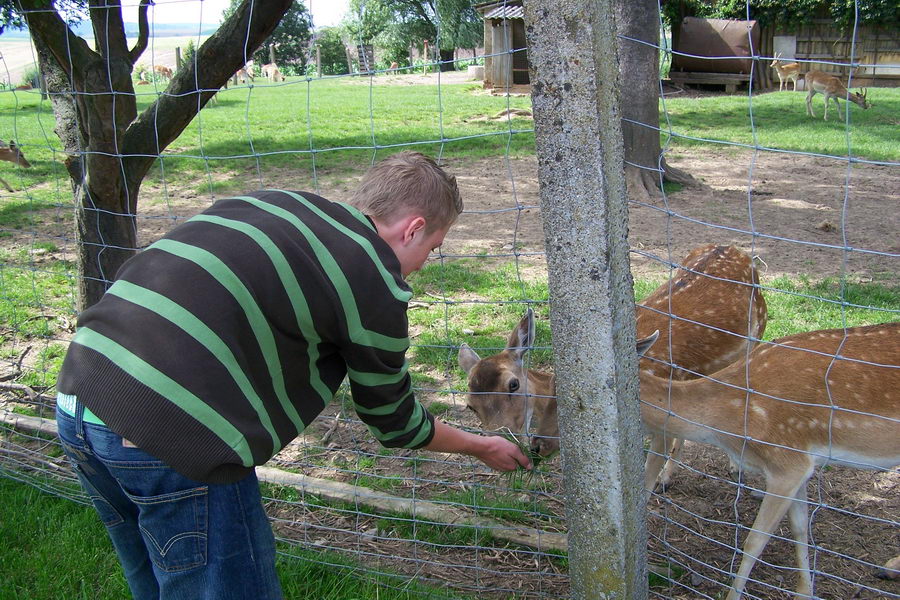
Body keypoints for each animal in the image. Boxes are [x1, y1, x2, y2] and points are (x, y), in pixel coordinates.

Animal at [458, 244, 768, 492]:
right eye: (470, 405)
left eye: (513, 384)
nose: (529, 446)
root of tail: (739, 250)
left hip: (758, 334)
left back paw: (733, 468)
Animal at [632, 324, 900, 600]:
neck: (724, 425)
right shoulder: (802, 464)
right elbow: (800, 527)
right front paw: (804, 592)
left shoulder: (786, 462)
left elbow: (755, 540)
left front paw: (733, 595)